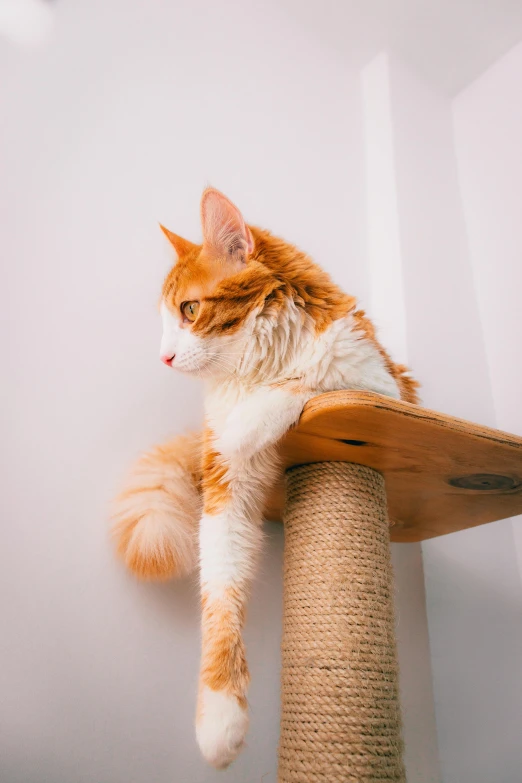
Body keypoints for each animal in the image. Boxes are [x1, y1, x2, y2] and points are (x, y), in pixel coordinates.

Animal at [110, 187, 418, 768]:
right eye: (166, 321)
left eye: (189, 310)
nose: (163, 357)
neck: (255, 368)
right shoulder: (225, 494)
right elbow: (221, 595)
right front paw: (219, 716)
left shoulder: (382, 394)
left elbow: (309, 382)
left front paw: (250, 422)